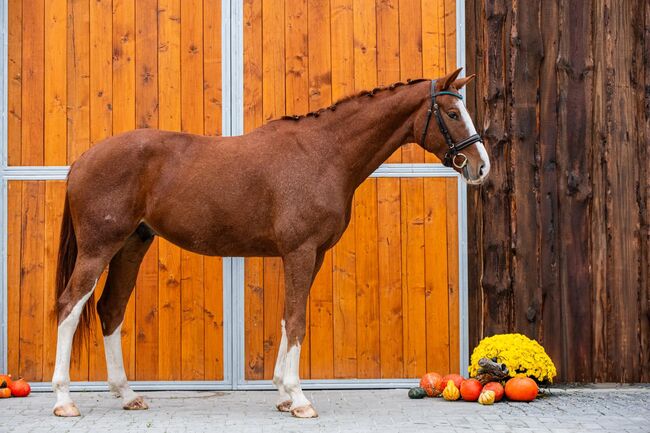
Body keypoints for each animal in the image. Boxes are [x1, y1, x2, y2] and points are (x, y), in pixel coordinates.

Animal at [50, 67, 486, 416]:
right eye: (452, 114)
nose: (482, 166)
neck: (323, 153)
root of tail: (83, 160)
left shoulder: (313, 255)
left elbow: (287, 317)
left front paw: (282, 393)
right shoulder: (300, 251)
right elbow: (296, 320)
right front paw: (299, 399)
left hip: (132, 245)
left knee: (110, 309)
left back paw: (127, 395)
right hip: (98, 248)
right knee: (70, 306)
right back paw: (64, 400)